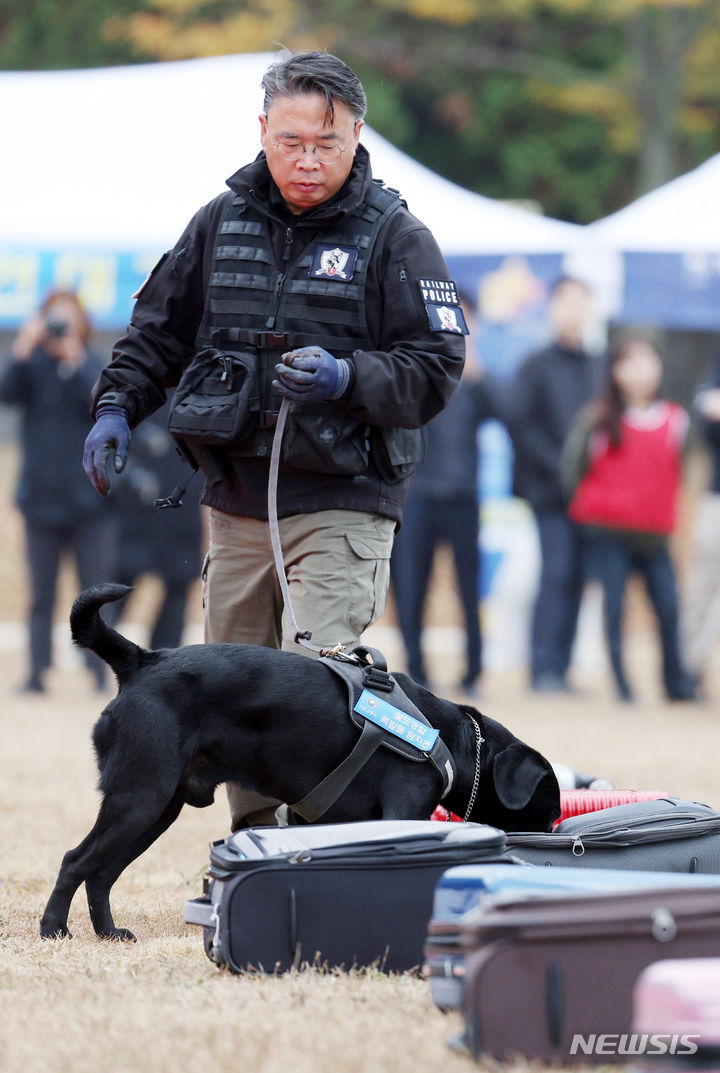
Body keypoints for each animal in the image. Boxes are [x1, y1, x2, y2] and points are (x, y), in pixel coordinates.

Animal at [42, 583, 562, 944]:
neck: (455, 739)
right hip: (140, 796)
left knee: (101, 873)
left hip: (158, 805)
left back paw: (109, 933)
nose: (554, 838)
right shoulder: (403, 810)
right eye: (552, 807)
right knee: (75, 861)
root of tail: (143, 660)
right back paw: (54, 930)